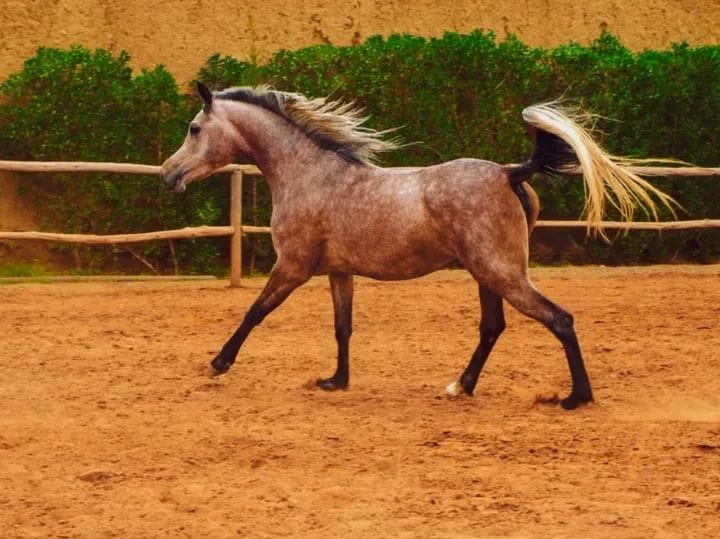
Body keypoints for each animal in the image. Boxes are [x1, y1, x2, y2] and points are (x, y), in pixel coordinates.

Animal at [161, 82, 675, 410]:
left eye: (193, 129)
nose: (168, 174)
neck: (309, 175)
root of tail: (510, 172)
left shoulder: (293, 267)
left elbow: (254, 312)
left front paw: (218, 363)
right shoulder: (339, 271)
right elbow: (343, 328)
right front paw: (335, 381)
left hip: (501, 272)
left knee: (559, 319)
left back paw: (576, 398)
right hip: (486, 273)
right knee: (493, 327)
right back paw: (460, 387)